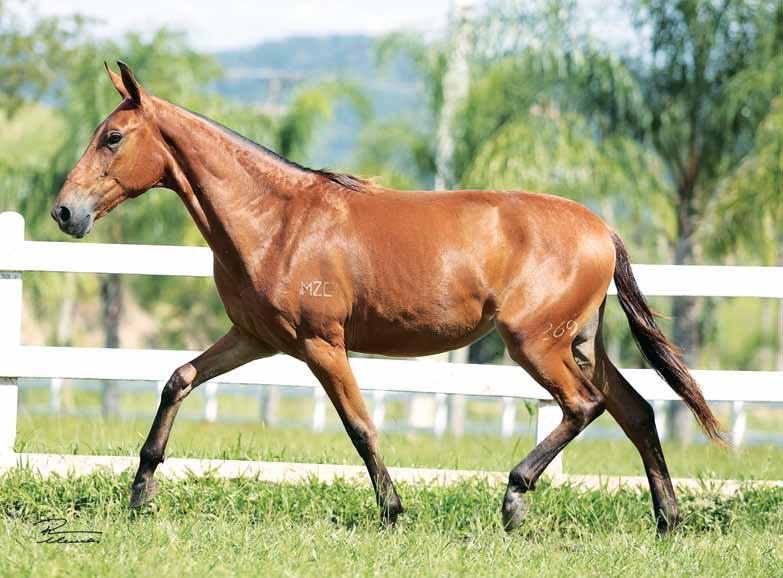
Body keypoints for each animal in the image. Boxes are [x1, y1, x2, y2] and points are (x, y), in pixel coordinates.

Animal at [49, 60, 724, 532]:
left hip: (536, 344)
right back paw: (668, 521)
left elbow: (360, 425)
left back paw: (514, 498)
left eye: (113, 137)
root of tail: (601, 229)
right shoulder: (254, 339)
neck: (279, 220)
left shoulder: (321, 344)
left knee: (584, 406)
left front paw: (392, 512)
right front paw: (140, 493)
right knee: (636, 411)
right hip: (580, 343)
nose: (64, 212)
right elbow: (178, 379)